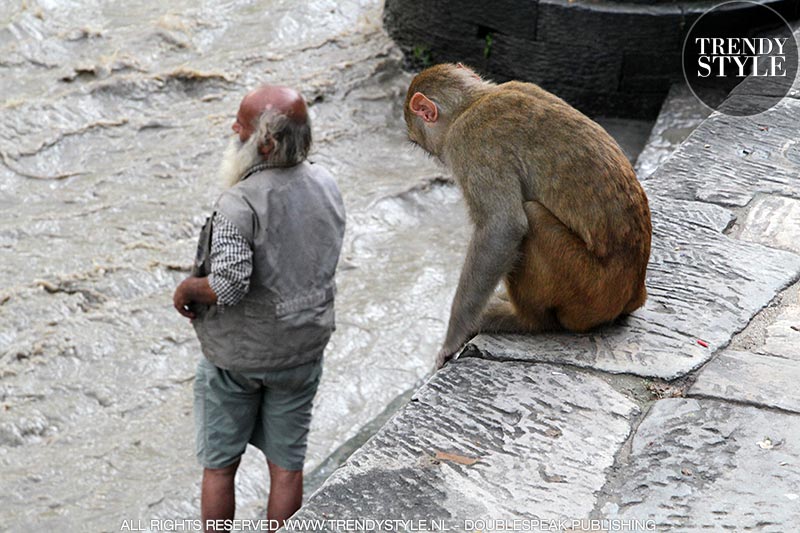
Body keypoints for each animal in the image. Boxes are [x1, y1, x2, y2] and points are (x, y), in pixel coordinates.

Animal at [404, 63, 652, 370]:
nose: (435, 158)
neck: (474, 101)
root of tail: (634, 292)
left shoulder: (468, 144)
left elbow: (501, 228)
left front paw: (452, 340)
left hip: (589, 290)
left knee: (532, 217)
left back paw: (524, 320)